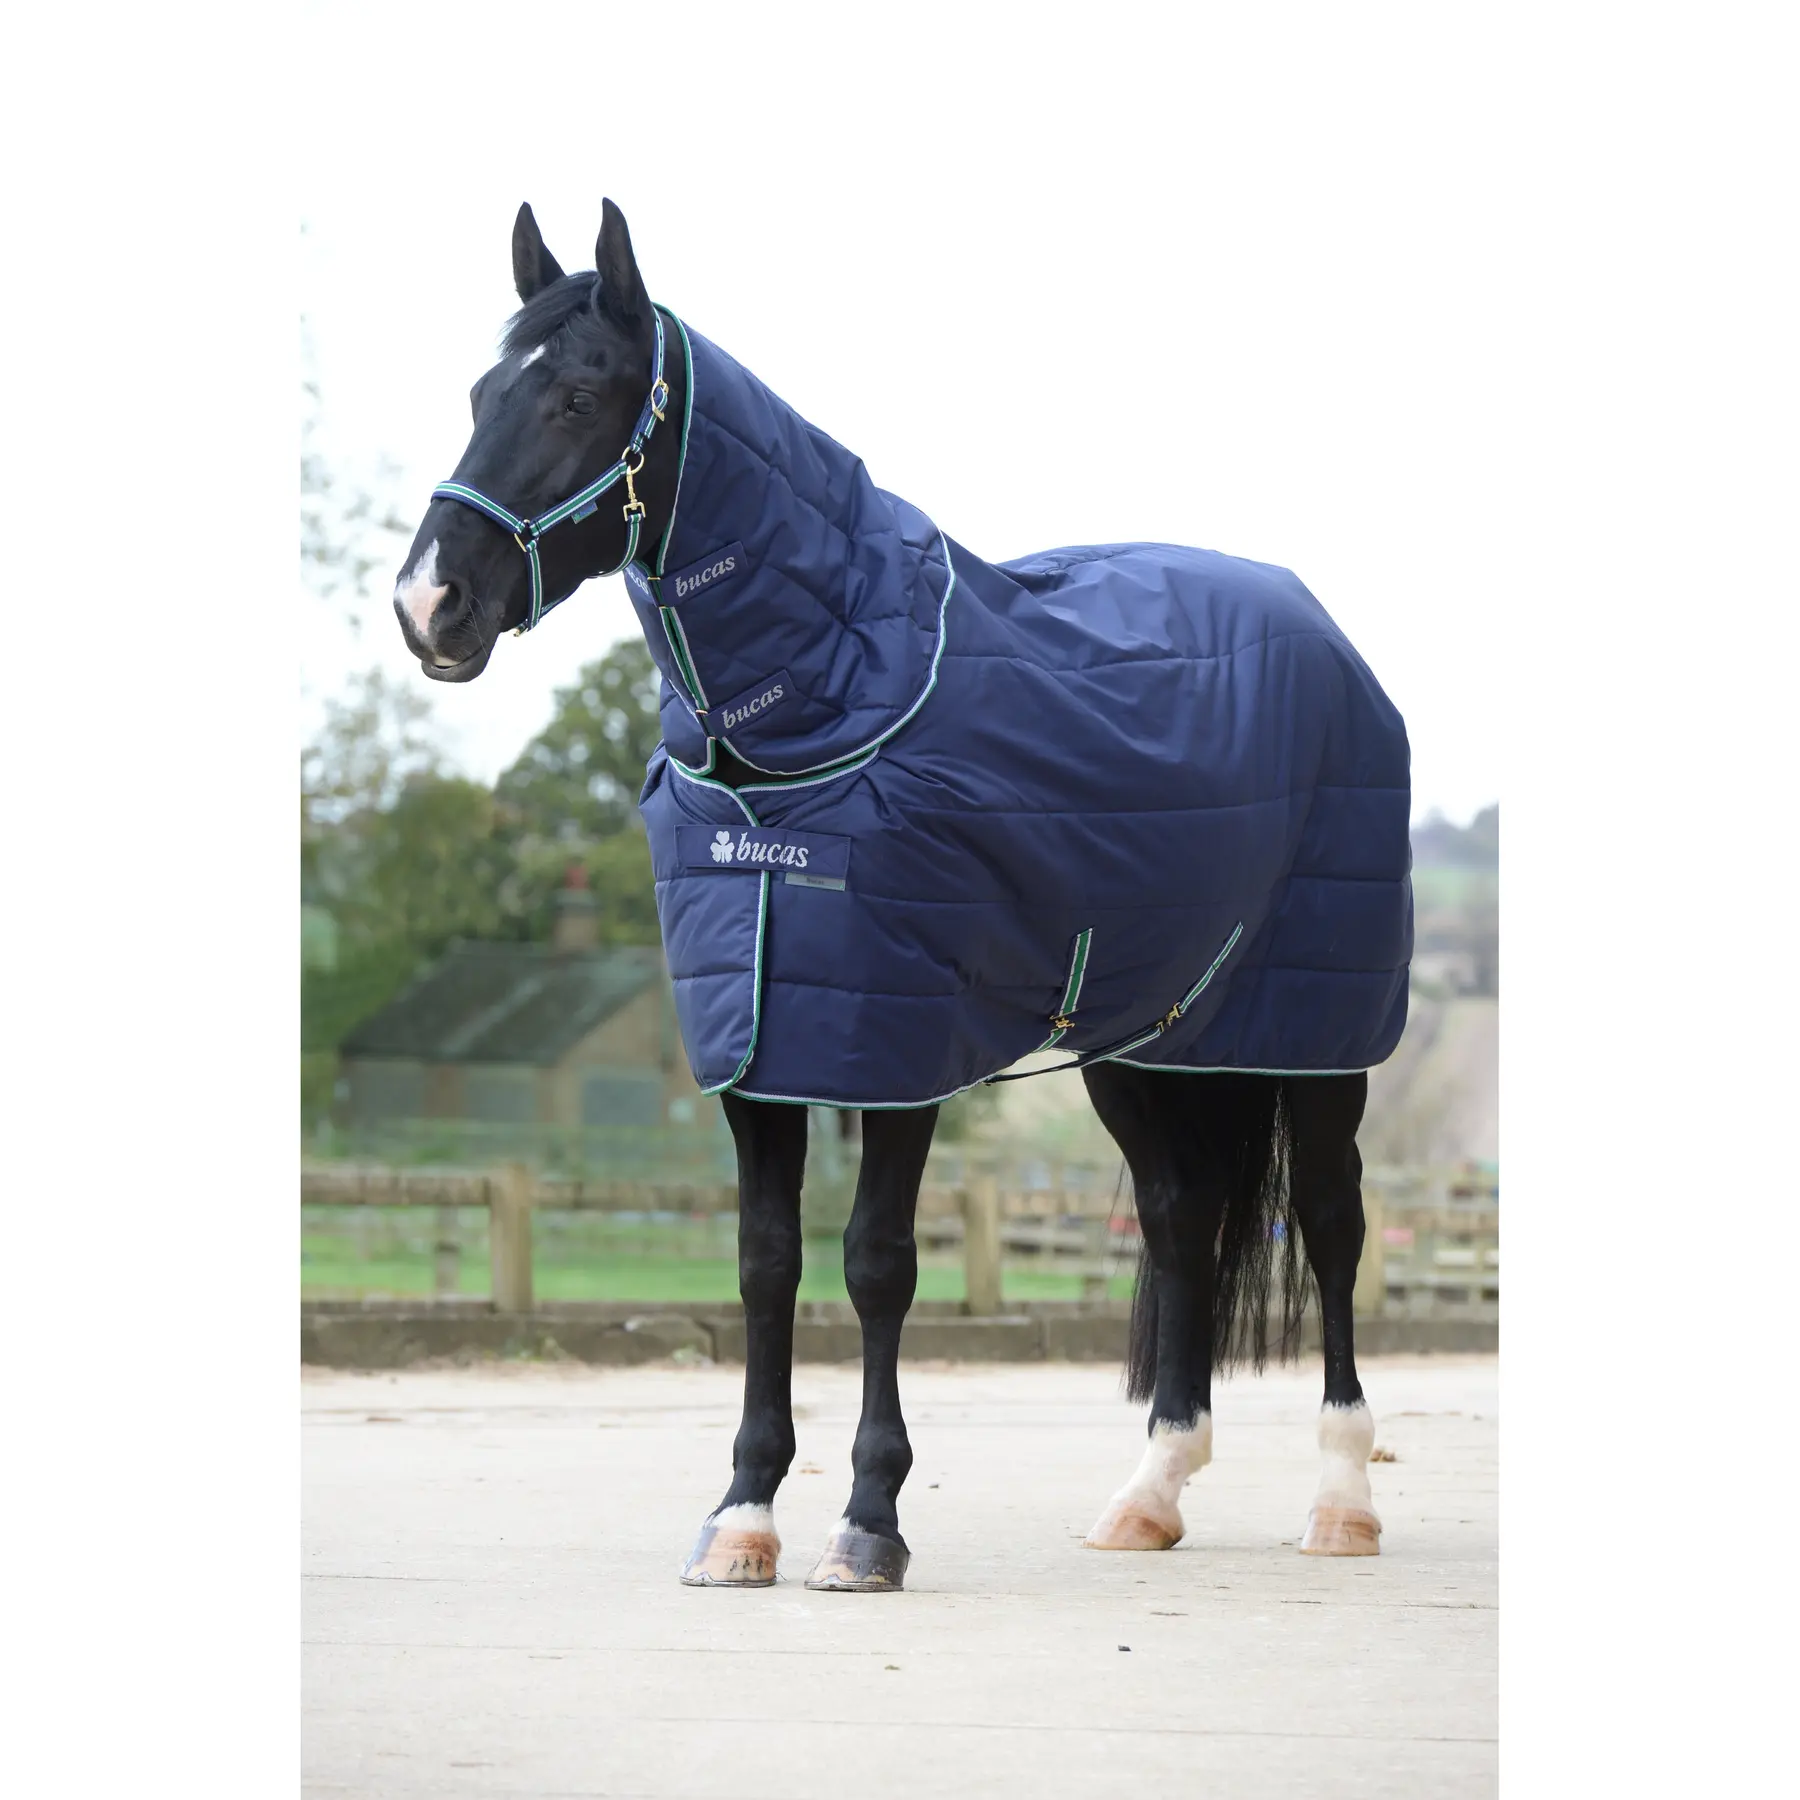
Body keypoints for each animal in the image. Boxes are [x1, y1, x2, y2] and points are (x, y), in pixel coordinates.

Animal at [391, 199, 1412, 1592]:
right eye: (480, 393)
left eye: (579, 396)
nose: (428, 604)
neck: (821, 716)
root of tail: (1330, 642)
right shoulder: (761, 1036)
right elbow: (766, 1266)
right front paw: (743, 1516)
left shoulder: (897, 1044)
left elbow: (875, 1265)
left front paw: (869, 1522)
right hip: (1144, 1044)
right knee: (1180, 1216)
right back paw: (1148, 1493)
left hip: (1319, 1038)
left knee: (1329, 1223)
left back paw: (1343, 1501)